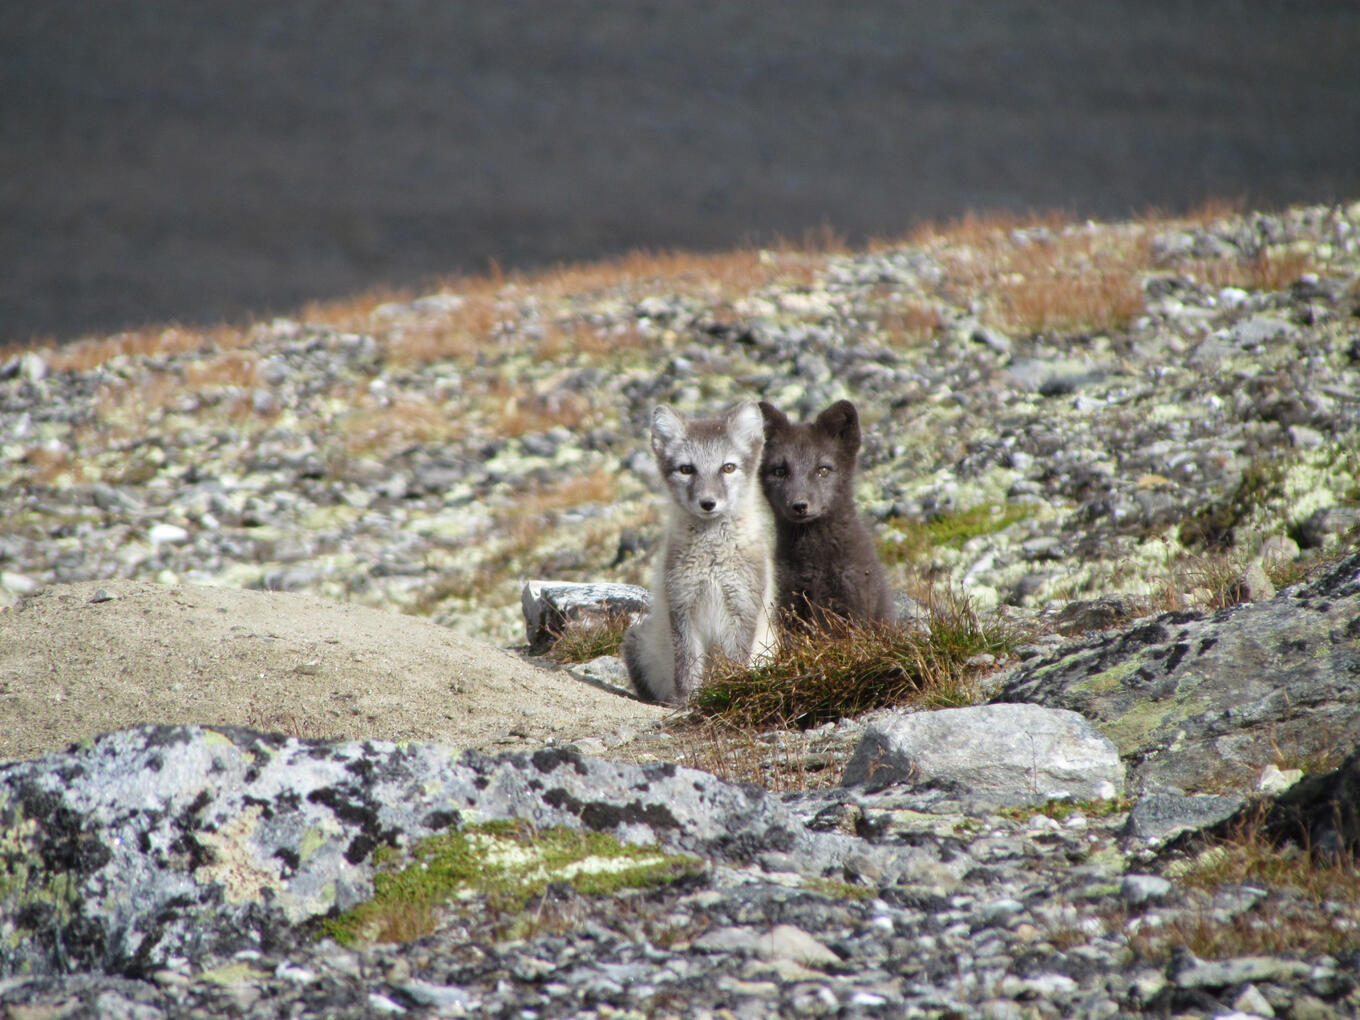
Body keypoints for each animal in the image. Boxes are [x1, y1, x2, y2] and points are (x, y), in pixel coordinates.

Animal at [622, 401, 779, 704]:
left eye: (728, 467)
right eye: (686, 469)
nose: (708, 503)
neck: (712, 559)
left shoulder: (742, 607)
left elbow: (734, 661)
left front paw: (730, 690)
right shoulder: (682, 605)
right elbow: (687, 665)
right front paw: (687, 702)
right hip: (635, 640)